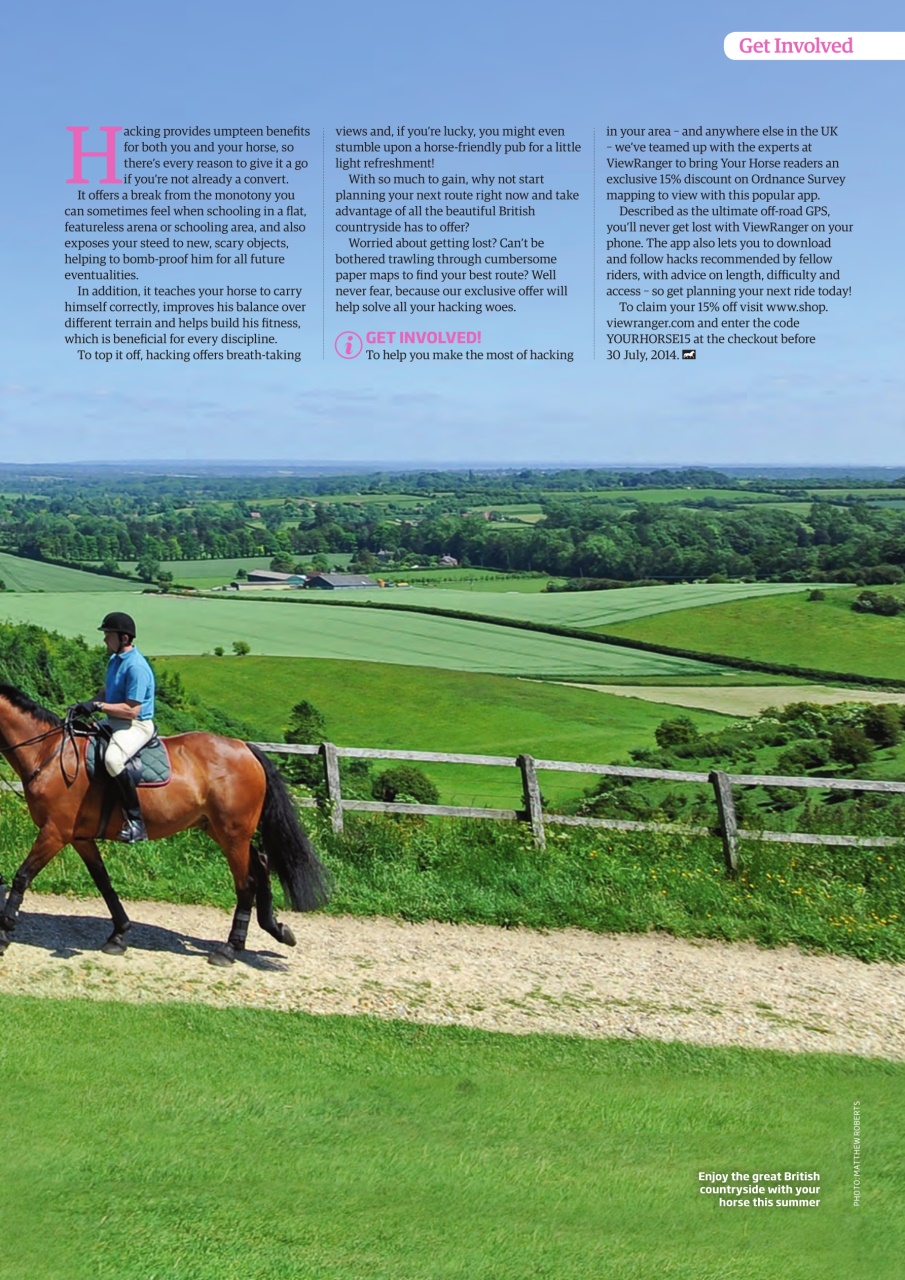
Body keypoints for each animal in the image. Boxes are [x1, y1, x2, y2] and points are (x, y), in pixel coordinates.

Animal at [0, 683, 331, 966]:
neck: (49, 753)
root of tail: (245, 748)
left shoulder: (55, 832)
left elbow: (22, 876)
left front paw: (4, 932)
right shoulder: (79, 837)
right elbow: (103, 881)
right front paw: (119, 934)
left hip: (232, 833)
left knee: (246, 881)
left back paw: (229, 949)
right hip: (220, 829)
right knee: (261, 864)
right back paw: (275, 928)